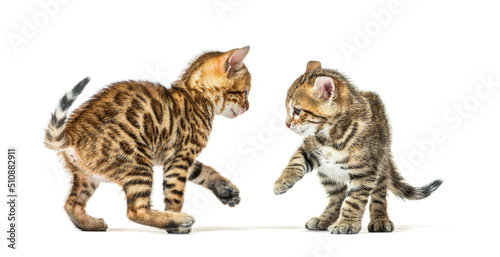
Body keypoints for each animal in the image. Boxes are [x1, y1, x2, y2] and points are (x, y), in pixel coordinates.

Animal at [45, 45, 252, 232]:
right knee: (136, 211)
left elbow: (205, 171)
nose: (248, 108)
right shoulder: (179, 157)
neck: (196, 96)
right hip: (137, 163)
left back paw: (91, 224)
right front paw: (176, 222)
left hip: (87, 176)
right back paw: (176, 220)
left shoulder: (181, 158)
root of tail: (71, 135)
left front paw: (226, 189)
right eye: (245, 93)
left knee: (71, 205)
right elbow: (175, 194)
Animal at [276, 61, 444, 233]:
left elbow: (354, 200)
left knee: (378, 196)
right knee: (337, 196)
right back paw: (324, 219)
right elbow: (296, 161)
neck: (332, 135)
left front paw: (346, 222)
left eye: (297, 110)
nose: (287, 124)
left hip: (381, 168)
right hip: (327, 174)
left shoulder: (365, 172)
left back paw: (380, 219)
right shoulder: (309, 147)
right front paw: (282, 181)